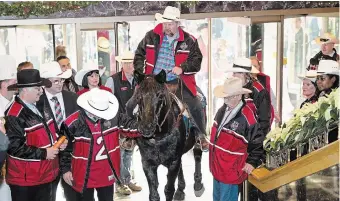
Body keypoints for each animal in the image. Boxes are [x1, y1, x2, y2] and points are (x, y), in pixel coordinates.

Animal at [125, 70, 203, 201]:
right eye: (138, 96)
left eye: (159, 96)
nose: (146, 127)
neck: (158, 137)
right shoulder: (148, 163)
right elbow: (154, 194)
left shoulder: (173, 162)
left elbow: (168, 189)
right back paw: (180, 190)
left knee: (197, 153)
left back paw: (198, 184)